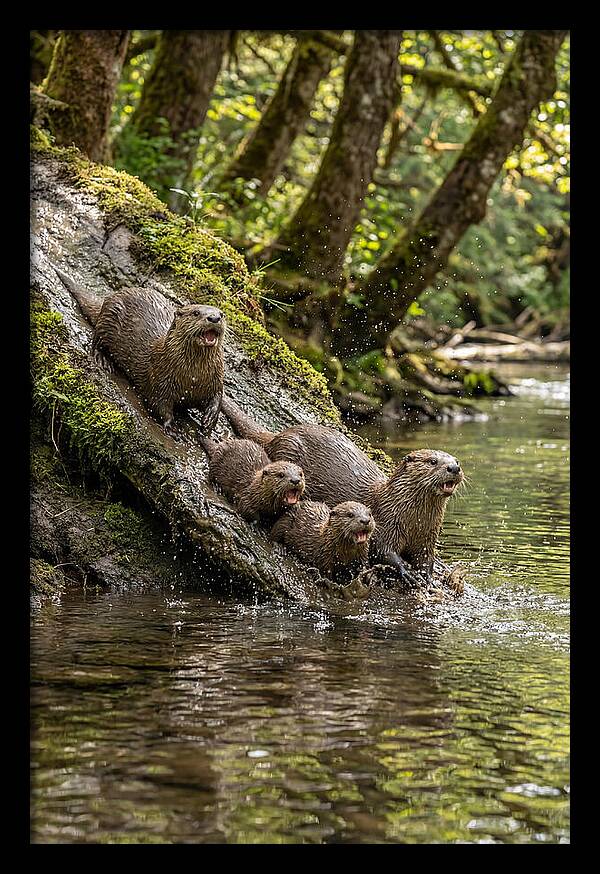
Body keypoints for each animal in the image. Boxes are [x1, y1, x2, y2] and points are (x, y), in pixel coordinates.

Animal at [54, 267, 225, 434]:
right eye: (196, 313)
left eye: (222, 314)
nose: (214, 318)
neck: (193, 378)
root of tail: (112, 296)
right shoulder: (159, 379)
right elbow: (159, 404)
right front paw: (172, 426)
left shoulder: (215, 379)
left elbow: (218, 396)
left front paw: (210, 419)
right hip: (109, 318)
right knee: (96, 338)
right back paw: (102, 359)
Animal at [221, 396, 463, 576]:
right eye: (433, 461)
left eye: (456, 460)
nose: (453, 468)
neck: (414, 520)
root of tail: (280, 435)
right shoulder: (386, 524)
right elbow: (384, 550)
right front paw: (406, 571)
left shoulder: (428, 537)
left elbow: (426, 558)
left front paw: (427, 575)